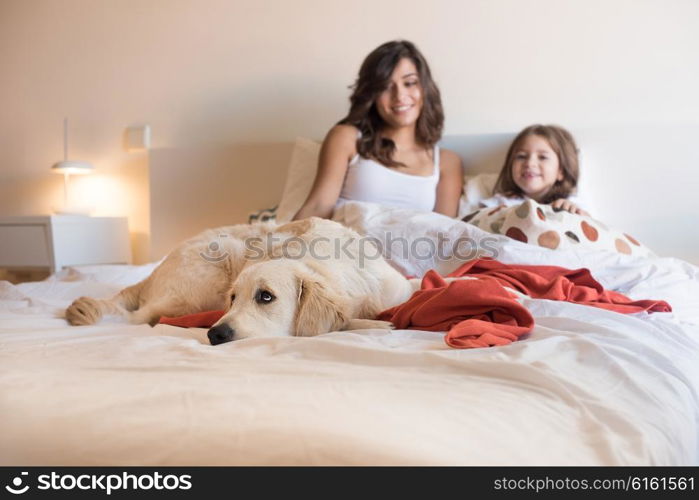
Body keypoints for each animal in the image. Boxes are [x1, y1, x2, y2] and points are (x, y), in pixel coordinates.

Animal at [65, 219, 416, 344]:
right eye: (233, 299)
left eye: (266, 297)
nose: (215, 333)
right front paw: (374, 324)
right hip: (215, 265)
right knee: (142, 316)